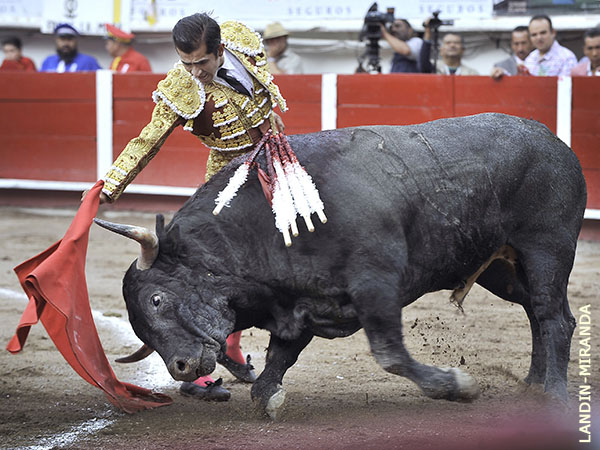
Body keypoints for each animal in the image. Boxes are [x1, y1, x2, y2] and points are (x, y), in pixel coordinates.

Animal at [95, 113, 586, 419]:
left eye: (157, 300)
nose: (180, 366)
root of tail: (554, 141)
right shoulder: (300, 303)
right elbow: (278, 359)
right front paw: (267, 398)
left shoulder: (377, 286)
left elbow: (390, 353)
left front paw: (457, 386)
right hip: (503, 268)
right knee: (538, 314)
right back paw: (532, 384)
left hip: (547, 249)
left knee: (554, 317)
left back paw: (554, 397)